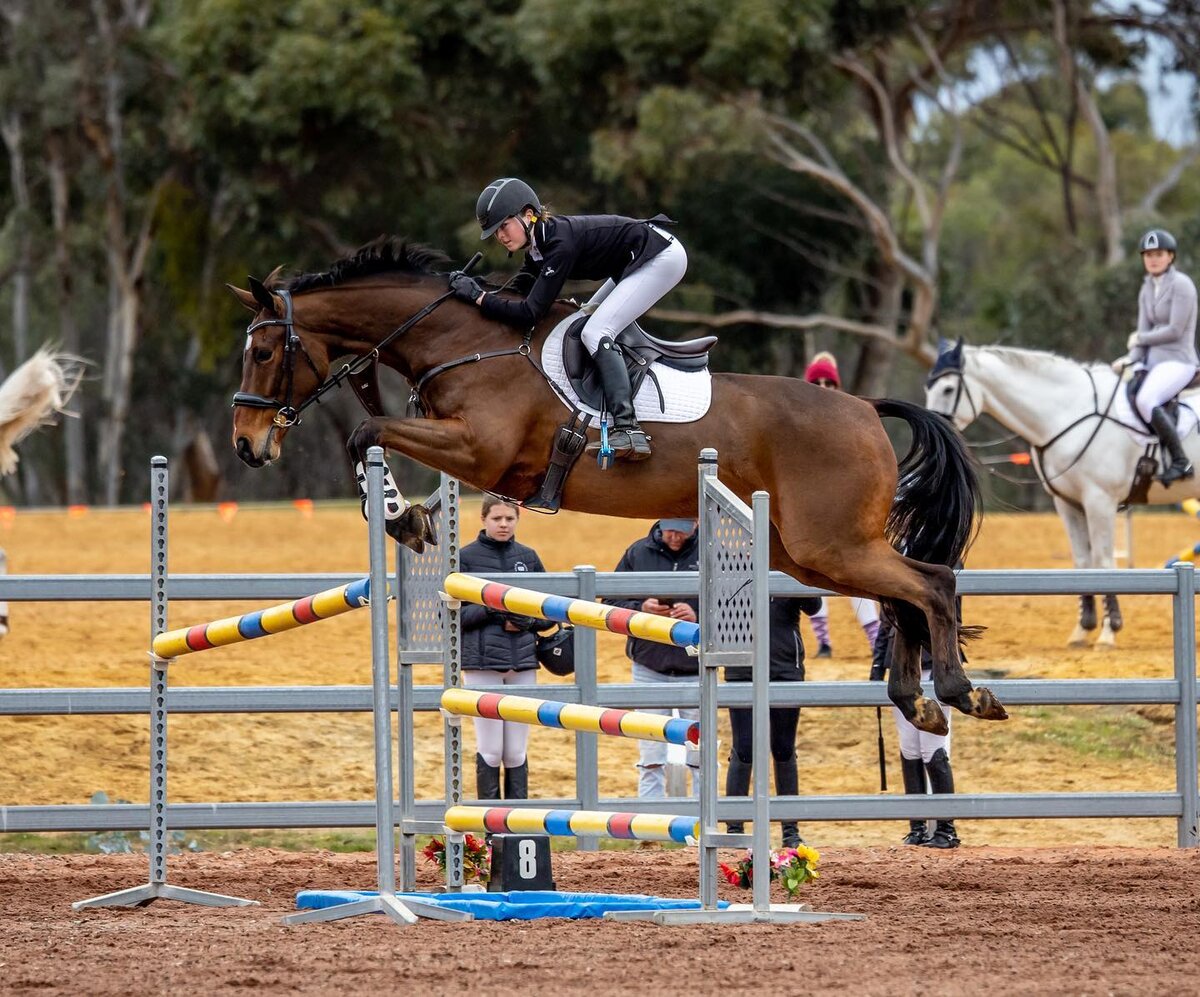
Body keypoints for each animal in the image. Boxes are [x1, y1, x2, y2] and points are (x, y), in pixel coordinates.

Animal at [229, 233, 1008, 734]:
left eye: (264, 352)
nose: (246, 444)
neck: (462, 340)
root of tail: (863, 406)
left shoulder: (479, 451)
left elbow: (367, 433)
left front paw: (399, 514)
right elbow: (373, 439)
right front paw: (410, 517)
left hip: (833, 543)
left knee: (933, 582)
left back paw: (961, 692)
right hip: (810, 553)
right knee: (906, 593)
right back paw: (918, 700)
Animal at [916, 338, 1200, 652]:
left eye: (948, 389)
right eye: (928, 388)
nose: (935, 434)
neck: (1068, 414)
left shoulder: (1100, 501)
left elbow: (1103, 563)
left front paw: (1108, 632)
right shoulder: (1067, 503)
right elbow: (1082, 563)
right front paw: (1082, 629)